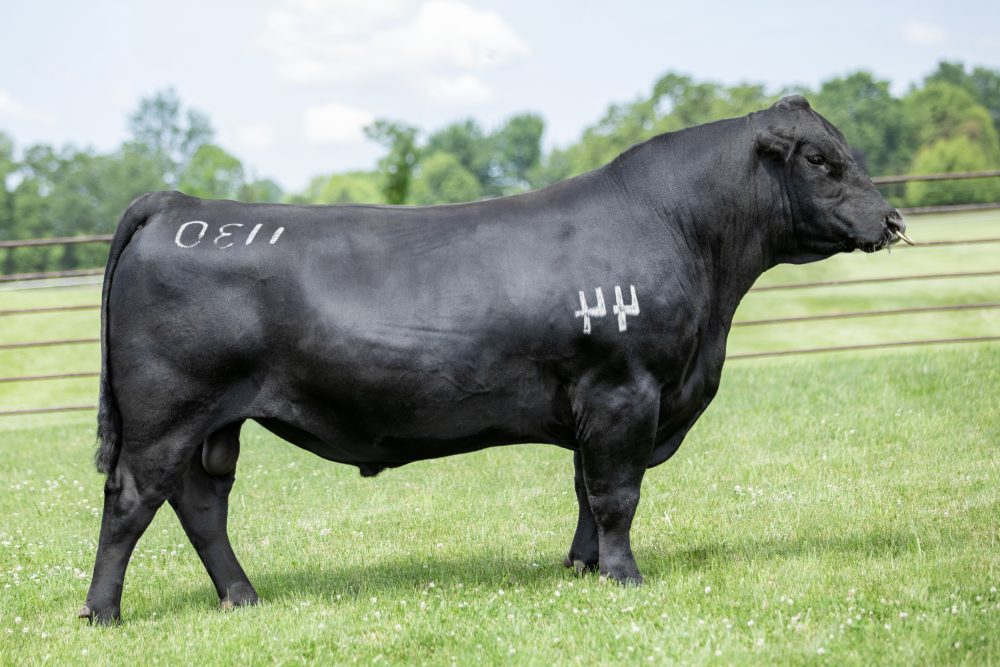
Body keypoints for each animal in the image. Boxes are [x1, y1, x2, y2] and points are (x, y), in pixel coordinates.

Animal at [79, 96, 907, 623]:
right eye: (821, 158)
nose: (893, 219)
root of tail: (182, 205)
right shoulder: (624, 390)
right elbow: (617, 494)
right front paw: (624, 576)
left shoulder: (597, 404)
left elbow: (584, 490)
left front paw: (579, 568)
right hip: (165, 414)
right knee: (133, 500)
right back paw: (102, 612)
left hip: (214, 423)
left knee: (201, 505)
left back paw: (242, 597)